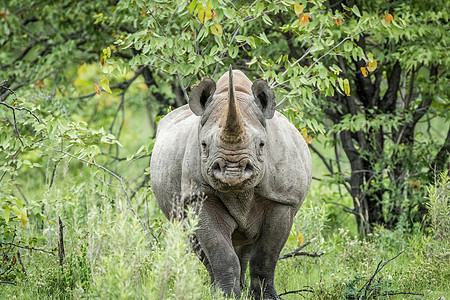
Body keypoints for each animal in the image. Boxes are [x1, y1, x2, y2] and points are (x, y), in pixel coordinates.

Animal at [151, 67, 312, 298]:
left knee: (246, 244)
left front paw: (266, 297)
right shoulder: (199, 196)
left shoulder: (282, 200)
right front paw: (226, 296)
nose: (232, 170)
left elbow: (266, 256)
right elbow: (220, 251)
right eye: (204, 145)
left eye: (262, 144)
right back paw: (217, 290)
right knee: (198, 242)